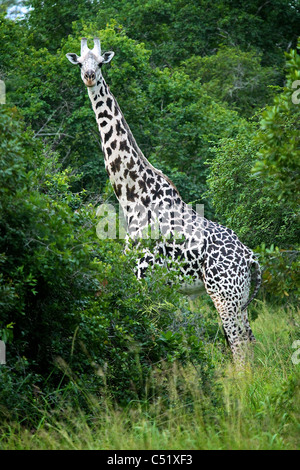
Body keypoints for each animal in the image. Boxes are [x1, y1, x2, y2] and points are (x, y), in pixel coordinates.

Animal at [67, 38, 262, 362]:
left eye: (102, 63)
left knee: (239, 348)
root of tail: (250, 258)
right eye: (81, 63)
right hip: (241, 297)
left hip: (224, 295)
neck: (133, 196)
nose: (90, 77)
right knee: (250, 342)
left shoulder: (140, 275)